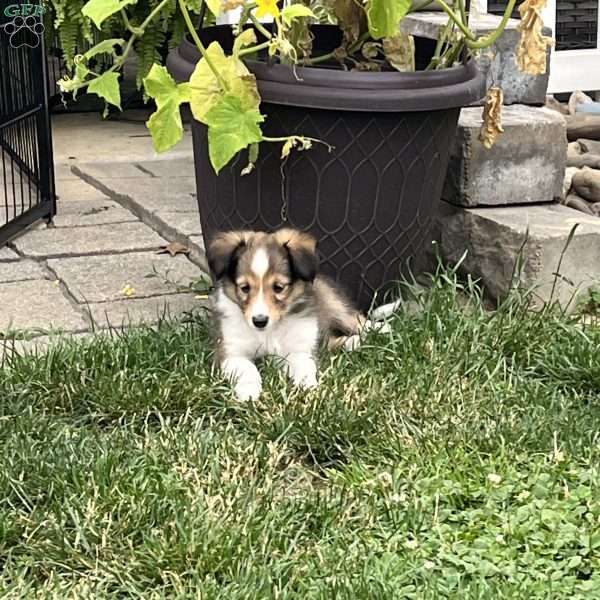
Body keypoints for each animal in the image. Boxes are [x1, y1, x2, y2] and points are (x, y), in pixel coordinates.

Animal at [209, 227, 392, 400]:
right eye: (245, 288)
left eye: (278, 287)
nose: (259, 321)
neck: (269, 332)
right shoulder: (231, 353)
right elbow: (247, 368)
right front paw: (249, 391)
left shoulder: (298, 350)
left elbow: (305, 367)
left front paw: (309, 389)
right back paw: (353, 342)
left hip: (334, 303)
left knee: (356, 320)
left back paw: (380, 329)